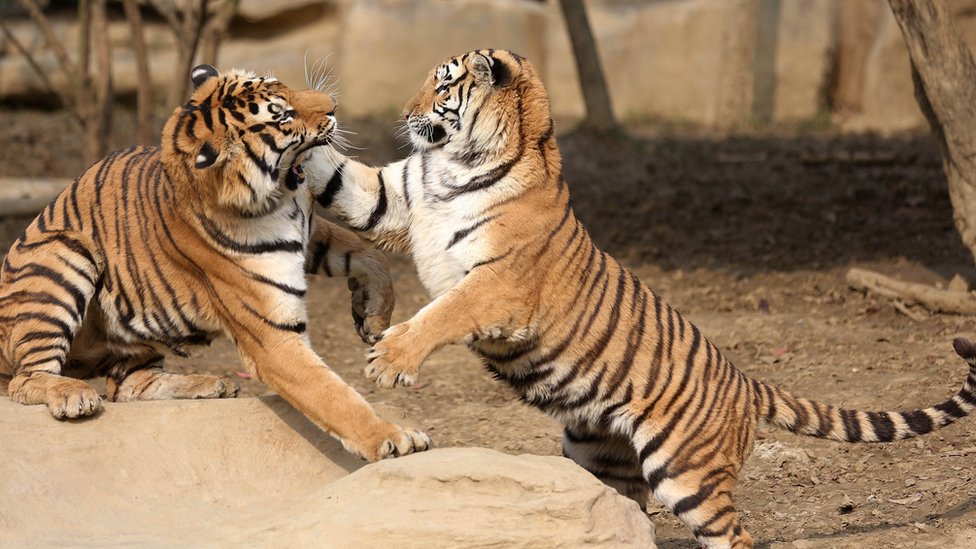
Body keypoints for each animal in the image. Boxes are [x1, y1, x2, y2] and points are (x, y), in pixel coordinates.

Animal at [0, 64, 428, 462]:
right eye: (282, 115)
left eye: (283, 85)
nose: (334, 105)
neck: (278, 198)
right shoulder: (271, 335)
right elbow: (332, 395)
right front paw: (392, 437)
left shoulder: (309, 231)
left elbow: (367, 253)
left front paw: (374, 315)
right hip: (66, 254)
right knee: (26, 380)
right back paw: (73, 395)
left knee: (129, 385)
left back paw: (210, 384)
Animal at [306, 49, 976, 544]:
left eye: (443, 83)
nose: (404, 111)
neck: (454, 163)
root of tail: (744, 380)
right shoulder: (392, 196)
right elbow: (333, 174)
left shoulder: (498, 285)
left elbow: (443, 313)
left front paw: (389, 360)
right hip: (598, 452)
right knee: (620, 513)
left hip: (688, 474)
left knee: (733, 534)